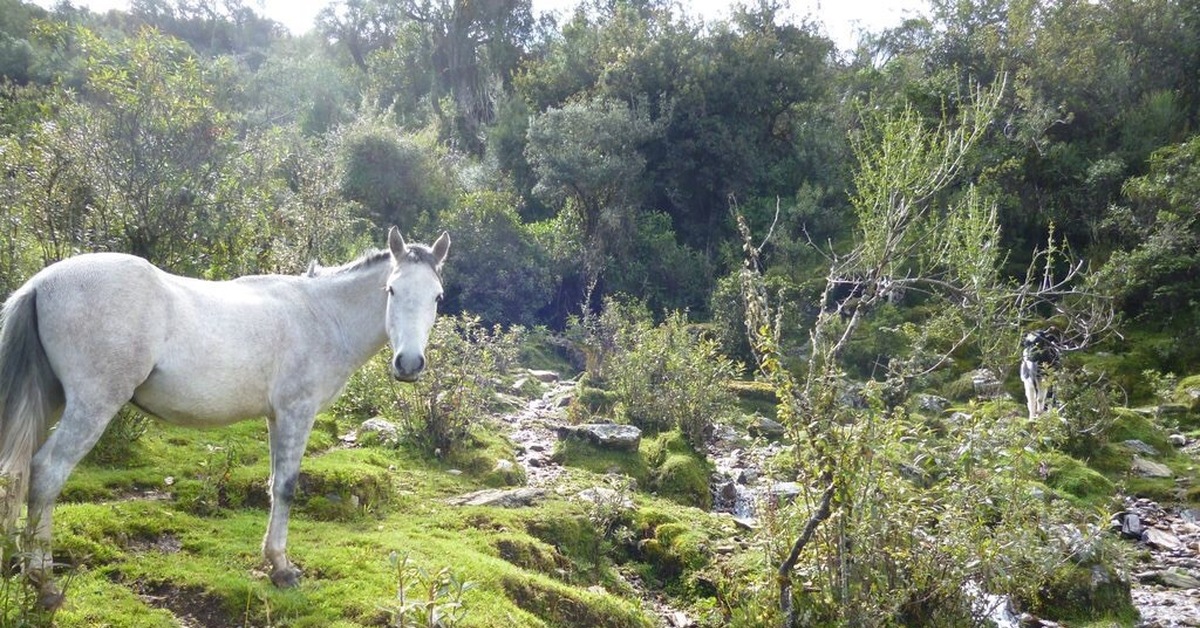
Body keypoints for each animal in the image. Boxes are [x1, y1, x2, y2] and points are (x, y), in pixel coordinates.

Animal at [0, 226, 448, 609]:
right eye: (391, 289)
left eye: (437, 297)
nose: (409, 364)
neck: (322, 316)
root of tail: (42, 283)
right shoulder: (296, 414)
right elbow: (287, 487)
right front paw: (282, 569)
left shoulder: (276, 418)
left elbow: (274, 484)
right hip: (91, 405)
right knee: (46, 473)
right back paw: (44, 583)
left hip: (52, 400)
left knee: (17, 474)